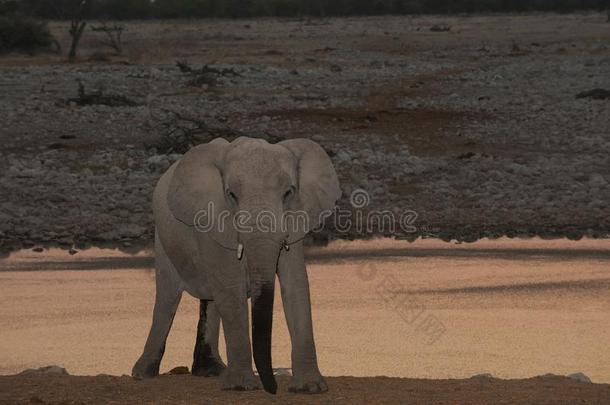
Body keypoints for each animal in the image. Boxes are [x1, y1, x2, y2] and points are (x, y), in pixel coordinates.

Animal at [131, 135, 340, 392]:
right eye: (231, 195)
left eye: (288, 193)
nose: (273, 388)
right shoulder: (213, 220)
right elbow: (231, 289)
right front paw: (241, 387)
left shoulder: (295, 221)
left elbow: (296, 285)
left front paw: (308, 389)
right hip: (162, 239)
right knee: (168, 296)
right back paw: (143, 374)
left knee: (209, 299)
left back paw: (210, 371)